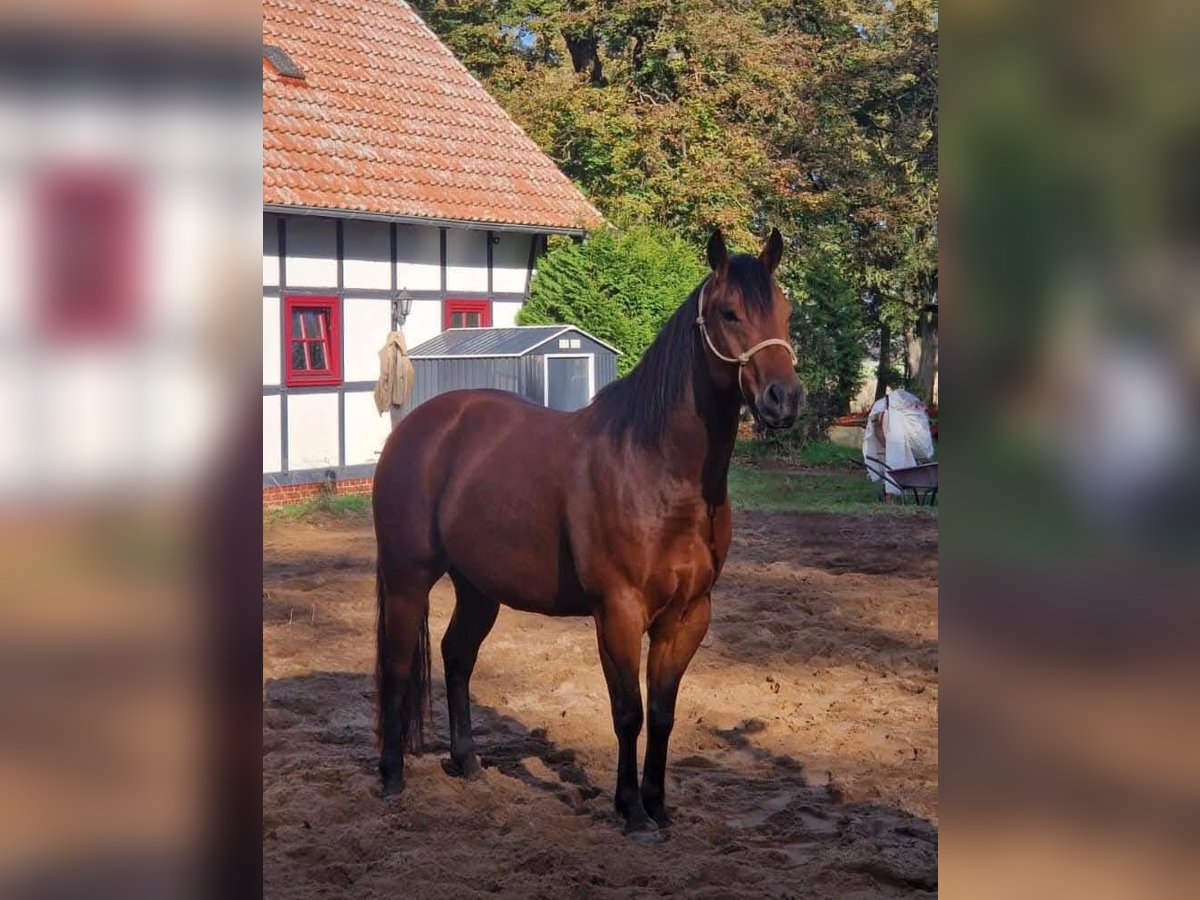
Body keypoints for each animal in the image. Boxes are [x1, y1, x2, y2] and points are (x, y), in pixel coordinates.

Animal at [372, 226, 806, 840]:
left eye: (785, 312)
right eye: (729, 312)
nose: (784, 399)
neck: (656, 467)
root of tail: (416, 427)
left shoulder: (688, 615)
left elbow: (663, 713)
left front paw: (658, 805)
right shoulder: (619, 610)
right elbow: (628, 711)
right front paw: (632, 811)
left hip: (479, 587)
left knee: (457, 655)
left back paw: (468, 762)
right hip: (408, 577)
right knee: (398, 662)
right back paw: (391, 777)